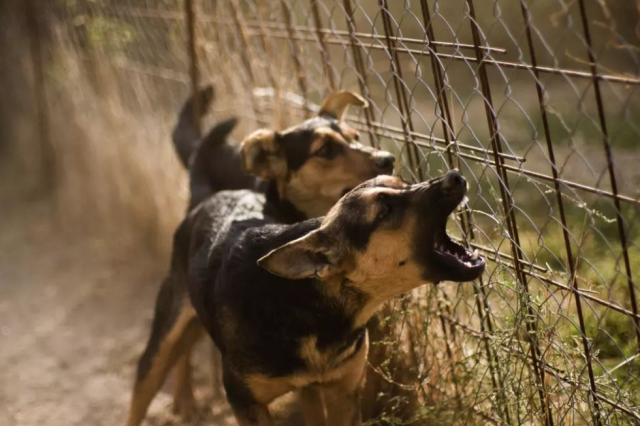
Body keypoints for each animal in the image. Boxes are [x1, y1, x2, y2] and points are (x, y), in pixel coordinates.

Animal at [124, 90, 396, 426]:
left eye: (356, 137)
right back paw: (183, 399)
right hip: (172, 314)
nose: (388, 159)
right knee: (156, 367)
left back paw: (185, 399)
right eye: (326, 150)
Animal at [132, 171, 482, 426]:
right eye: (385, 211)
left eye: (403, 183)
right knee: (145, 386)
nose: (455, 176)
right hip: (162, 339)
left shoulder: (343, 391)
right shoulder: (245, 403)